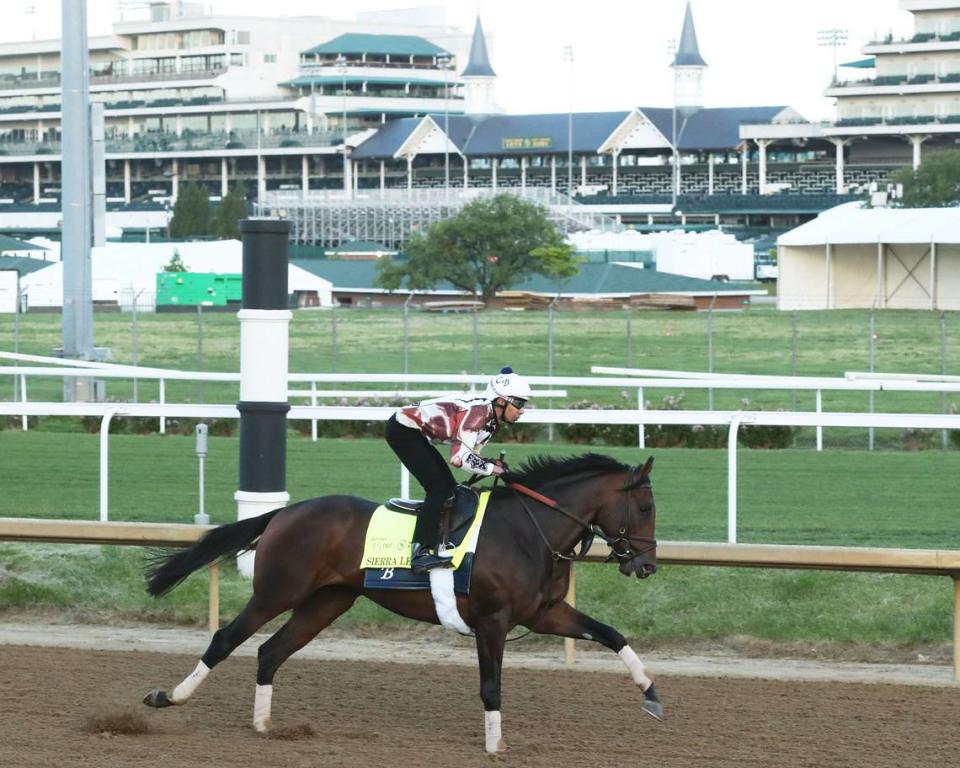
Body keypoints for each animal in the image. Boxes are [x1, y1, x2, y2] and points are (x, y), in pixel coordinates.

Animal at [144, 452, 660, 752]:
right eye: (646, 507)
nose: (647, 565)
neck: (529, 531)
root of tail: (286, 512)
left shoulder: (544, 613)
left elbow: (612, 635)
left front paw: (651, 695)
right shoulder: (493, 620)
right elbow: (491, 686)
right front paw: (496, 747)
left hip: (327, 601)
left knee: (271, 651)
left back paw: (264, 725)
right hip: (277, 591)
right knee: (226, 638)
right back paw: (168, 696)